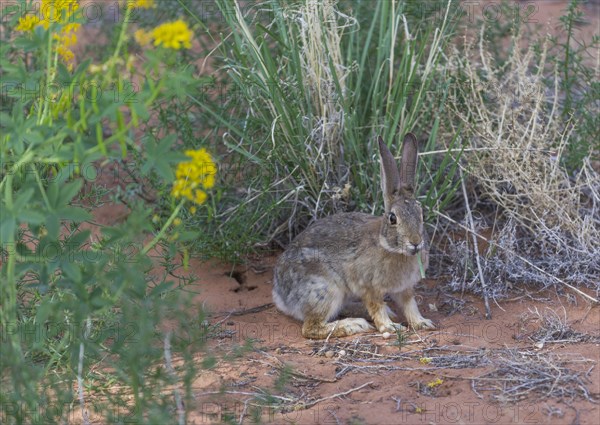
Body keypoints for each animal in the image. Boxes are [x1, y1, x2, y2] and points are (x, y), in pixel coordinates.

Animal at [274, 132, 436, 338]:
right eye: (393, 218)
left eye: (422, 214)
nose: (415, 242)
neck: (388, 245)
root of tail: (280, 294)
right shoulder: (370, 287)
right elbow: (376, 307)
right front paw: (390, 327)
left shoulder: (404, 288)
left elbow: (410, 305)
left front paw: (422, 322)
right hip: (325, 289)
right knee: (311, 328)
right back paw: (354, 325)